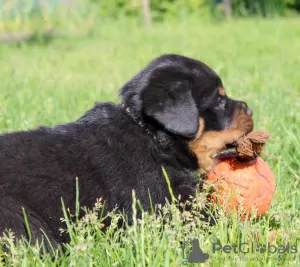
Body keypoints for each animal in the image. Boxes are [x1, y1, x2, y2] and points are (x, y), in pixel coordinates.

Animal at [0, 55, 253, 249]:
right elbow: (215, 220)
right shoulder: (164, 206)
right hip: (23, 223)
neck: (152, 136)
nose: (250, 109)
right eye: (219, 100)